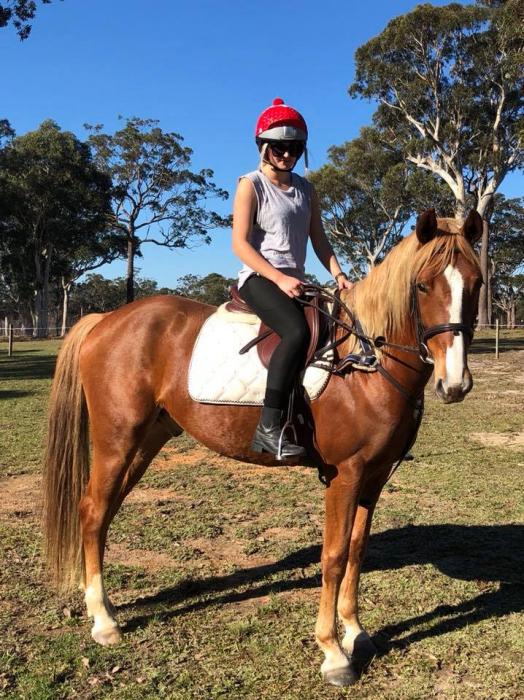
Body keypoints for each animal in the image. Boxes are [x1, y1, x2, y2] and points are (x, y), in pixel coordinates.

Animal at [43, 208, 482, 687]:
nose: (454, 384)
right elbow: (334, 555)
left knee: (104, 513)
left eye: (476, 283)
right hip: (117, 439)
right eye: (422, 286)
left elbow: (358, 551)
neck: (365, 362)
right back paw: (103, 621)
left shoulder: (375, 476)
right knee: (93, 511)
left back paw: (102, 607)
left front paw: (356, 632)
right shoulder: (345, 474)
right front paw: (333, 653)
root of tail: (106, 319)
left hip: (145, 441)